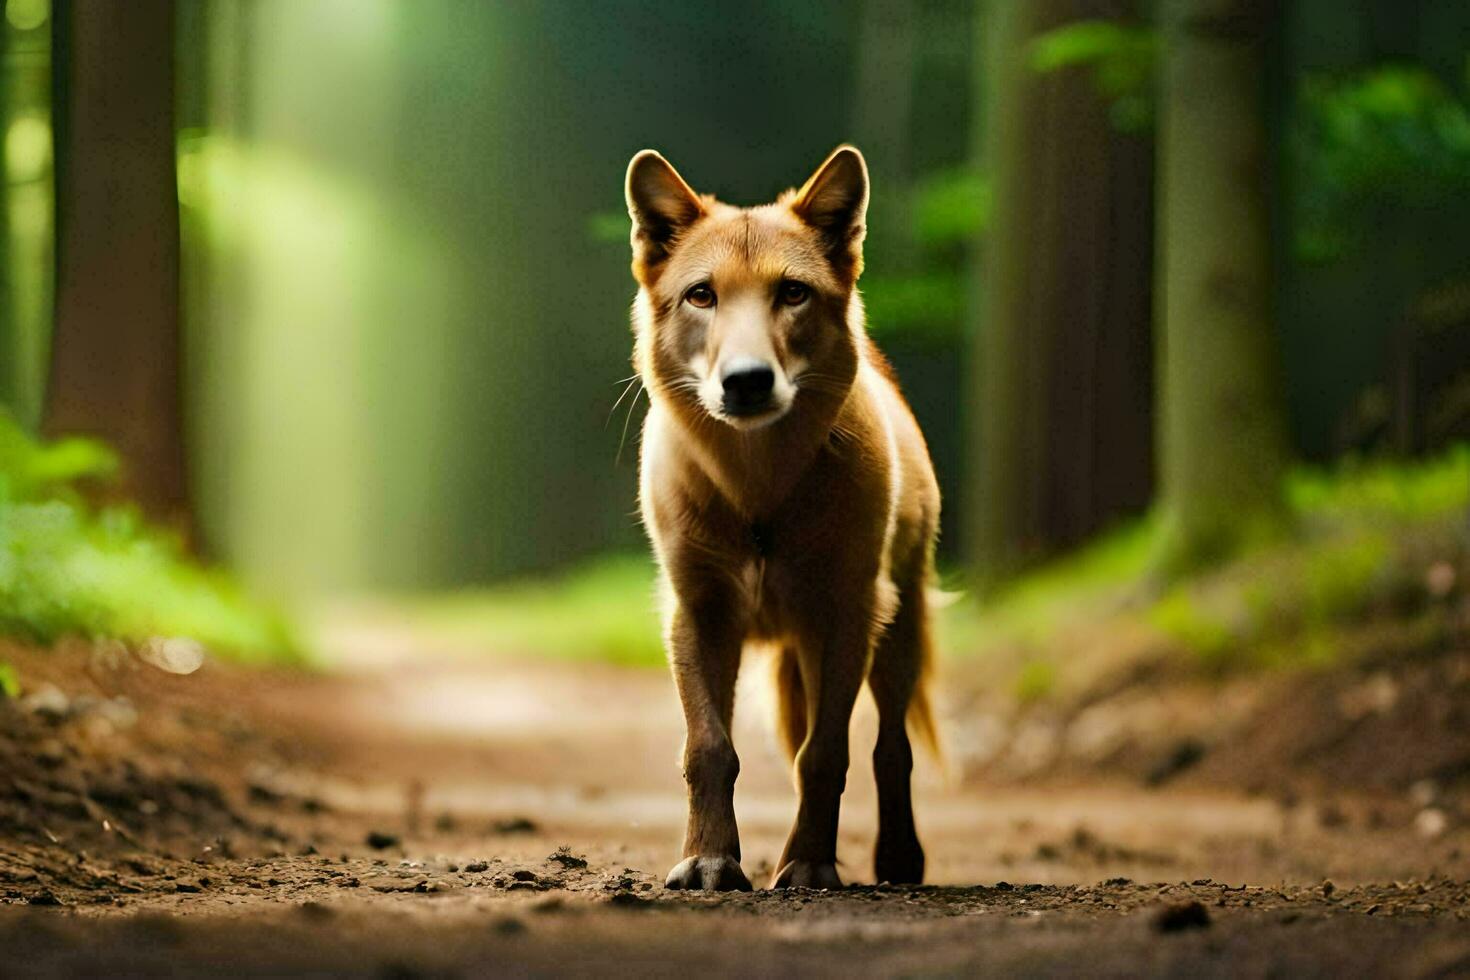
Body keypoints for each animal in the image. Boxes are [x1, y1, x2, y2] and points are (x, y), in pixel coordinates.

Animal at [623, 147, 940, 899]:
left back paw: (898, 860)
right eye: (701, 295)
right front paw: (710, 861)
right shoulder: (698, 612)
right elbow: (709, 747)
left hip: (899, 628)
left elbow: (827, 752)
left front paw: (809, 865)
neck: (758, 494)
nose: (746, 380)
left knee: (890, 747)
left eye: (793, 293)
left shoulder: (848, 614)